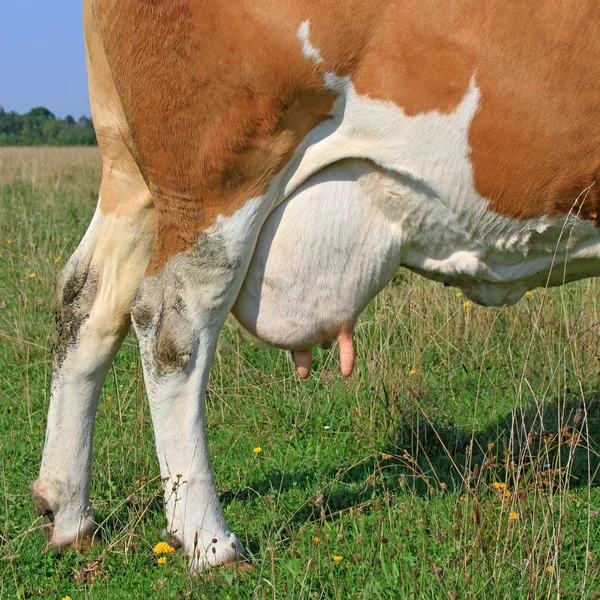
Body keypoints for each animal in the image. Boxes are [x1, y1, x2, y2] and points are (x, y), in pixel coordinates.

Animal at [30, 1, 600, 572]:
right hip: (218, 175)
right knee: (172, 321)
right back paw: (210, 543)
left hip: (131, 171)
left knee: (85, 301)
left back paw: (70, 514)